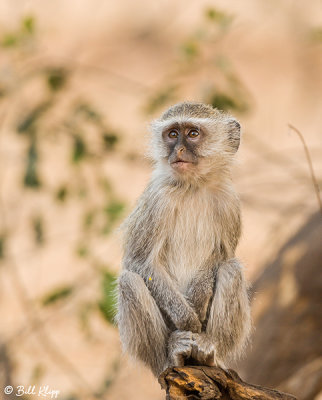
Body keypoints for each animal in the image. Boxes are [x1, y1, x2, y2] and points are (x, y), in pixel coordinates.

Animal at [116, 101, 252, 376]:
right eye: (172, 134)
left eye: (192, 133)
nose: (177, 150)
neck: (193, 187)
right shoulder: (158, 201)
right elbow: (139, 262)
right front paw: (188, 320)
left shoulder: (229, 201)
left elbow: (222, 256)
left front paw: (198, 303)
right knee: (129, 281)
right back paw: (170, 356)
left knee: (231, 269)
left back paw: (211, 351)